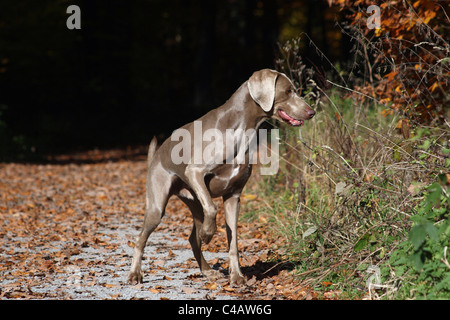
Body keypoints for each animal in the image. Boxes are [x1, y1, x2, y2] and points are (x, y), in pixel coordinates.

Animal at [127, 68, 316, 284]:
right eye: (288, 91)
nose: (312, 112)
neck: (241, 129)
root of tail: (156, 156)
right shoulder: (195, 172)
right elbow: (212, 207)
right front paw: (209, 235)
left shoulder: (233, 196)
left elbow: (233, 241)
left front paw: (237, 276)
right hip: (157, 205)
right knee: (141, 237)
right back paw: (135, 274)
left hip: (193, 201)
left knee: (193, 238)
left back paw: (207, 270)